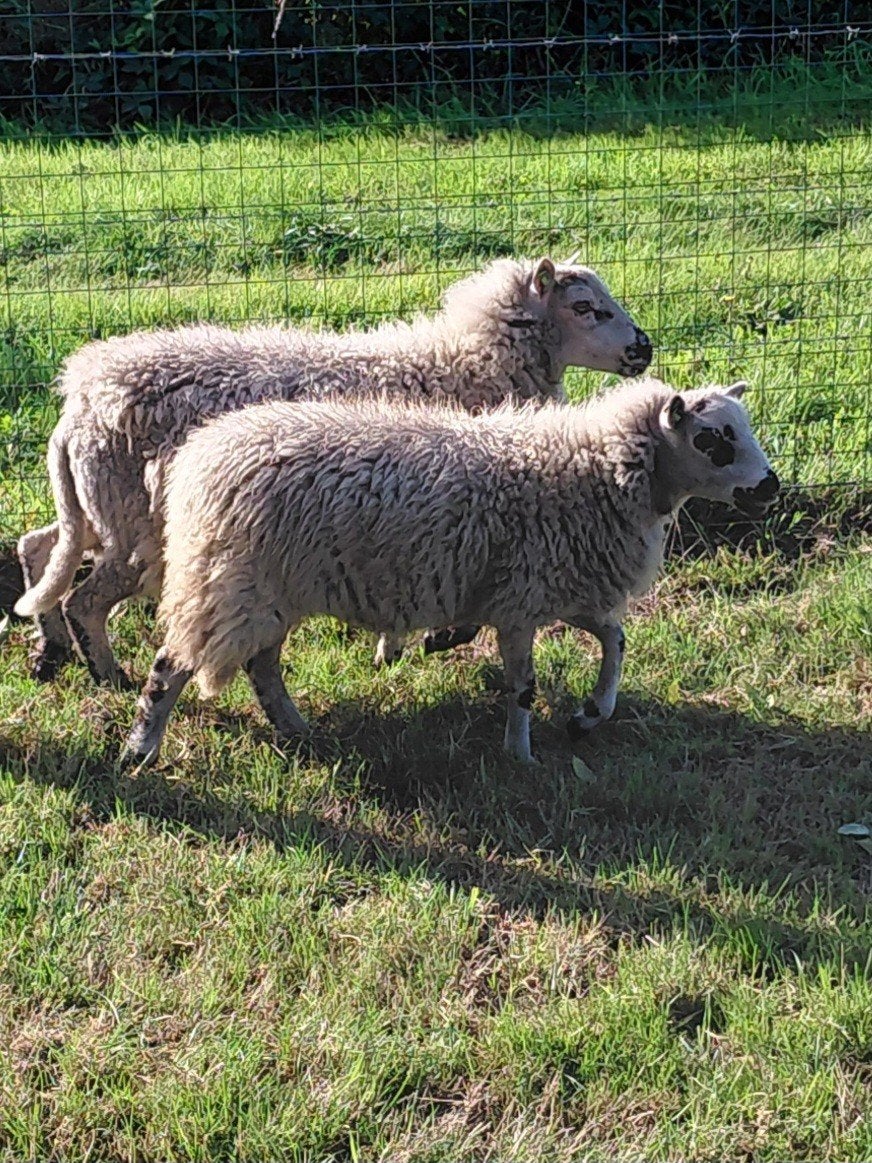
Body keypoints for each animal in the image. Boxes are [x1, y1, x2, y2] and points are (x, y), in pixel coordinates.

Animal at [14, 256, 652, 688]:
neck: (458, 364)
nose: (644, 349)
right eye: (586, 308)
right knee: (85, 599)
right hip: (134, 526)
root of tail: (79, 401)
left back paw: (50, 653)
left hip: (93, 507)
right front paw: (429, 640)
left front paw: (395, 648)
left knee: (38, 549)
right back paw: (108, 675)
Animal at [123, 378, 779, 766]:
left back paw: (297, 730)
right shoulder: (521, 600)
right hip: (228, 580)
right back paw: (141, 749)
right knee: (172, 666)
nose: (770, 486)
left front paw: (589, 716)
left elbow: (615, 641)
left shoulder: (558, 588)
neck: (595, 468)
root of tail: (197, 455)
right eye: (714, 438)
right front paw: (522, 756)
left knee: (262, 665)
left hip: (269, 588)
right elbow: (524, 686)